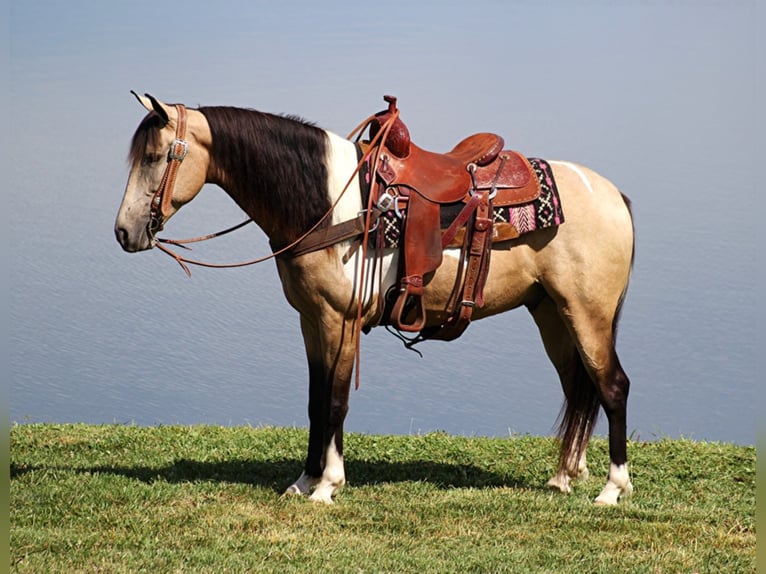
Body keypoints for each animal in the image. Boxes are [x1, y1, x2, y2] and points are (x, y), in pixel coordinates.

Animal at [114, 92, 640, 506]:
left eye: (156, 157)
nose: (123, 232)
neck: (324, 202)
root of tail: (614, 195)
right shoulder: (311, 319)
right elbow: (315, 399)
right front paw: (304, 480)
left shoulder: (340, 319)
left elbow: (336, 401)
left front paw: (327, 485)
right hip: (553, 312)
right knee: (578, 386)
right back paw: (562, 478)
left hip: (588, 312)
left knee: (612, 386)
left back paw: (612, 489)